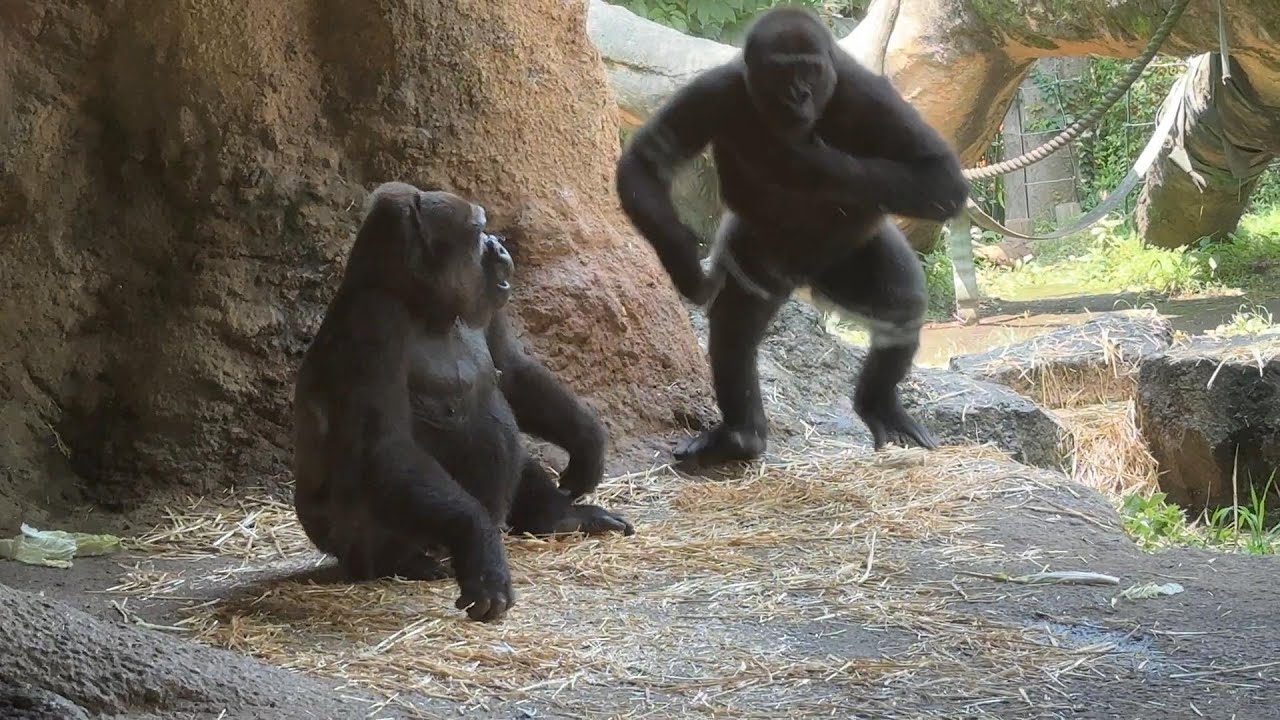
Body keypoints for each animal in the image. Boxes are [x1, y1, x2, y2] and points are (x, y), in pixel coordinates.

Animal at [292, 181, 634, 623]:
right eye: (477, 231)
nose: (498, 244)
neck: (423, 306)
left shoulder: (488, 308)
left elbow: (513, 371)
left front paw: (587, 440)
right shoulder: (374, 320)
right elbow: (384, 447)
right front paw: (479, 549)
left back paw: (560, 517)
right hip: (346, 543)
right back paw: (400, 561)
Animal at [614, 6, 969, 466]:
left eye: (810, 71)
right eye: (780, 72)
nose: (798, 95)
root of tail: (805, 279)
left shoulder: (867, 95)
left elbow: (939, 178)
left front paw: (808, 164)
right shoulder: (716, 91)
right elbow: (647, 161)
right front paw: (688, 268)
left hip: (846, 257)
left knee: (902, 305)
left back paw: (878, 404)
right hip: (761, 253)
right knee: (735, 325)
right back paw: (741, 436)